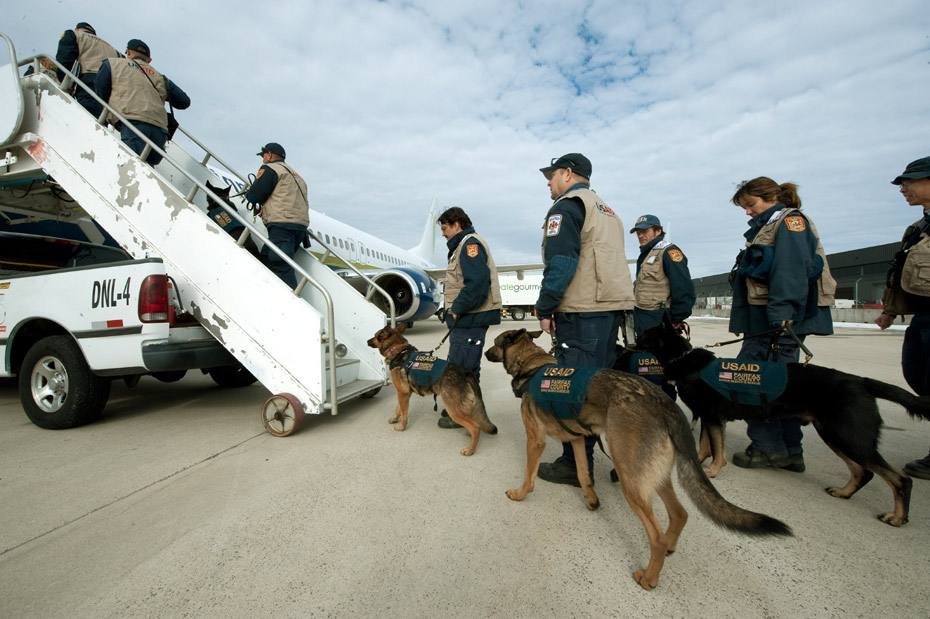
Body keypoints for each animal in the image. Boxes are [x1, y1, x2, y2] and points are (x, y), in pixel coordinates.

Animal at [364, 324, 500, 456]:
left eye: (375, 335)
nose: (366, 341)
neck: (397, 349)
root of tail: (464, 372)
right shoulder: (403, 393)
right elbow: (399, 408)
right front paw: (394, 419)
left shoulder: (403, 393)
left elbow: (404, 413)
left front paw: (402, 426)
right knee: (474, 423)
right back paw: (469, 436)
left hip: (453, 409)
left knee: (476, 427)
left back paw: (470, 449)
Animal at [486, 330, 792, 592]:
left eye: (497, 343)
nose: (486, 352)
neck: (531, 366)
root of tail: (666, 406)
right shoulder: (577, 439)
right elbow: (584, 474)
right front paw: (591, 500)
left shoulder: (535, 440)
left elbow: (530, 474)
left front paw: (520, 493)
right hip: (652, 475)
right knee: (680, 514)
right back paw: (669, 546)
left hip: (631, 479)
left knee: (655, 536)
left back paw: (649, 577)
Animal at [640, 314, 930, 528]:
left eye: (645, 335)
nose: (633, 339)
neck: (684, 360)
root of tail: (861, 382)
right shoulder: (708, 417)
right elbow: (704, 446)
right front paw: (701, 463)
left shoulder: (713, 417)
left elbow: (717, 450)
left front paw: (711, 472)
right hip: (835, 435)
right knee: (864, 471)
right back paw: (844, 492)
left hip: (848, 437)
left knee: (899, 479)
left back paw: (897, 517)